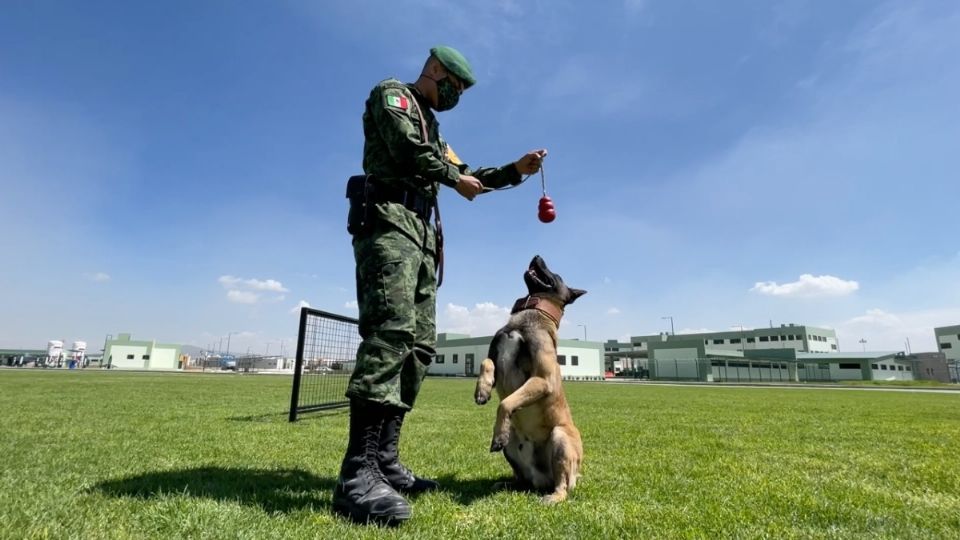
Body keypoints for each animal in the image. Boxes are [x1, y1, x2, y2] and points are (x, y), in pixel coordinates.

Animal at [472, 255, 584, 504]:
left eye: (556, 275)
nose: (536, 256)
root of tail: (543, 480)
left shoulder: (542, 379)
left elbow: (505, 403)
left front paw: (498, 433)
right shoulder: (496, 363)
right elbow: (486, 362)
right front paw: (482, 390)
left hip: (560, 437)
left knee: (563, 485)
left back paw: (553, 497)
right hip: (513, 446)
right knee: (522, 480)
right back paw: (506, 484)